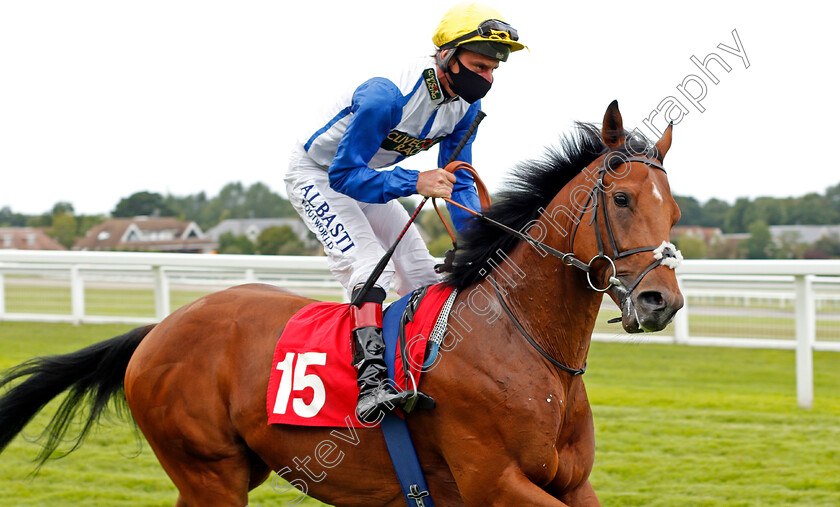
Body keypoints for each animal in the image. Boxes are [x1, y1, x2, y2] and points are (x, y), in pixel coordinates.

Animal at [0, 101, 684, 506]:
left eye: (674, 209)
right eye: (622, 199)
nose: (662, 301)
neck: (525, 349)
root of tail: (158, 330)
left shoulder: (574, 483)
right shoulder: (495, 483)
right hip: (209, 472)